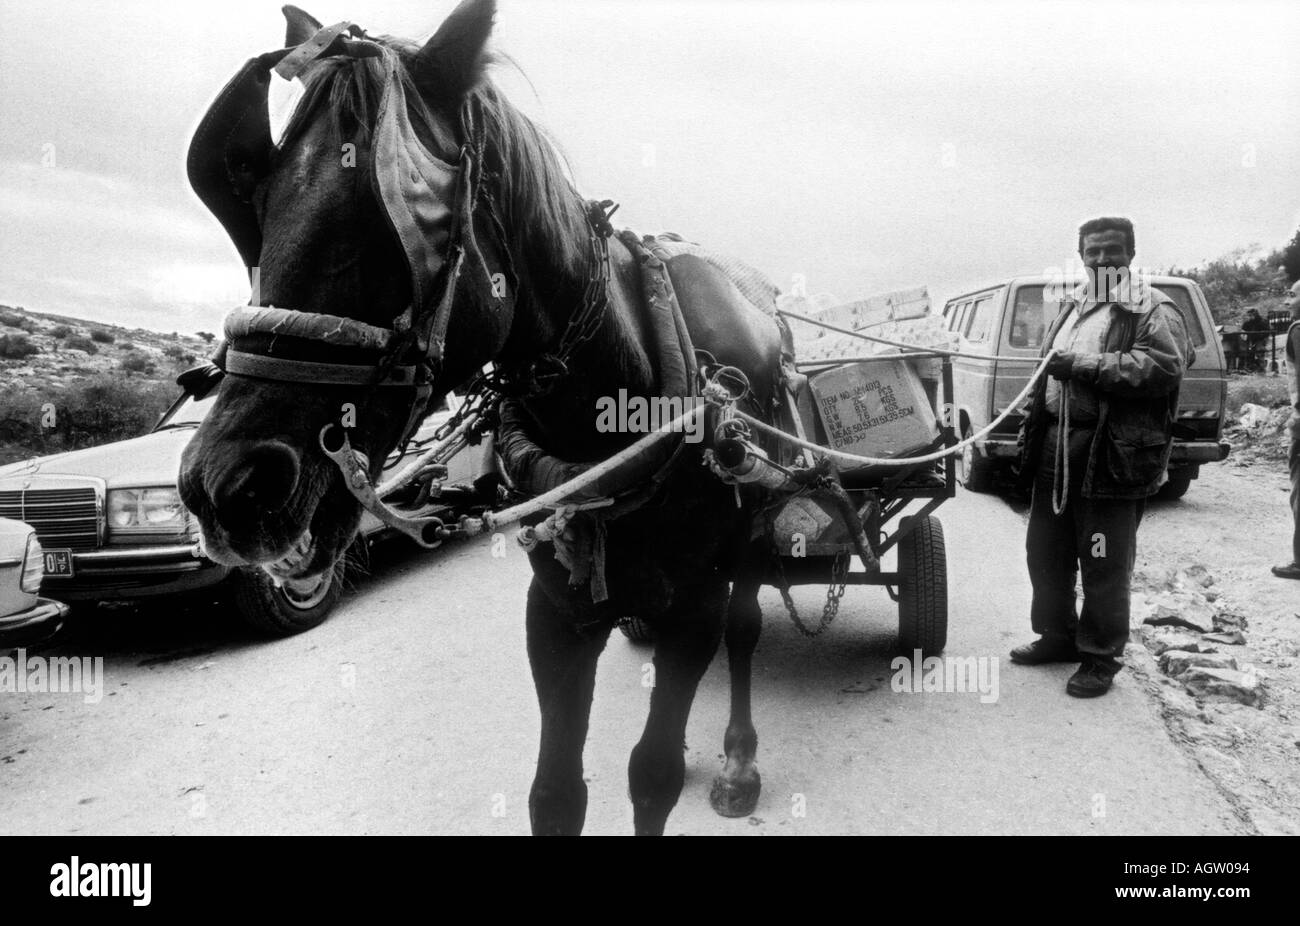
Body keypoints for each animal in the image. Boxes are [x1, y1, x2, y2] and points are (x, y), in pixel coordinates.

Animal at [176, 0, 785, 837]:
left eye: (388, 226)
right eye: (260, 212)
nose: (222, 484)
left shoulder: (695, 604)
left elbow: (651, 774)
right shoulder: (555, 615)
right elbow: (555, 794)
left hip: (753, 537)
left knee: (747, 628)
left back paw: (739, 759)